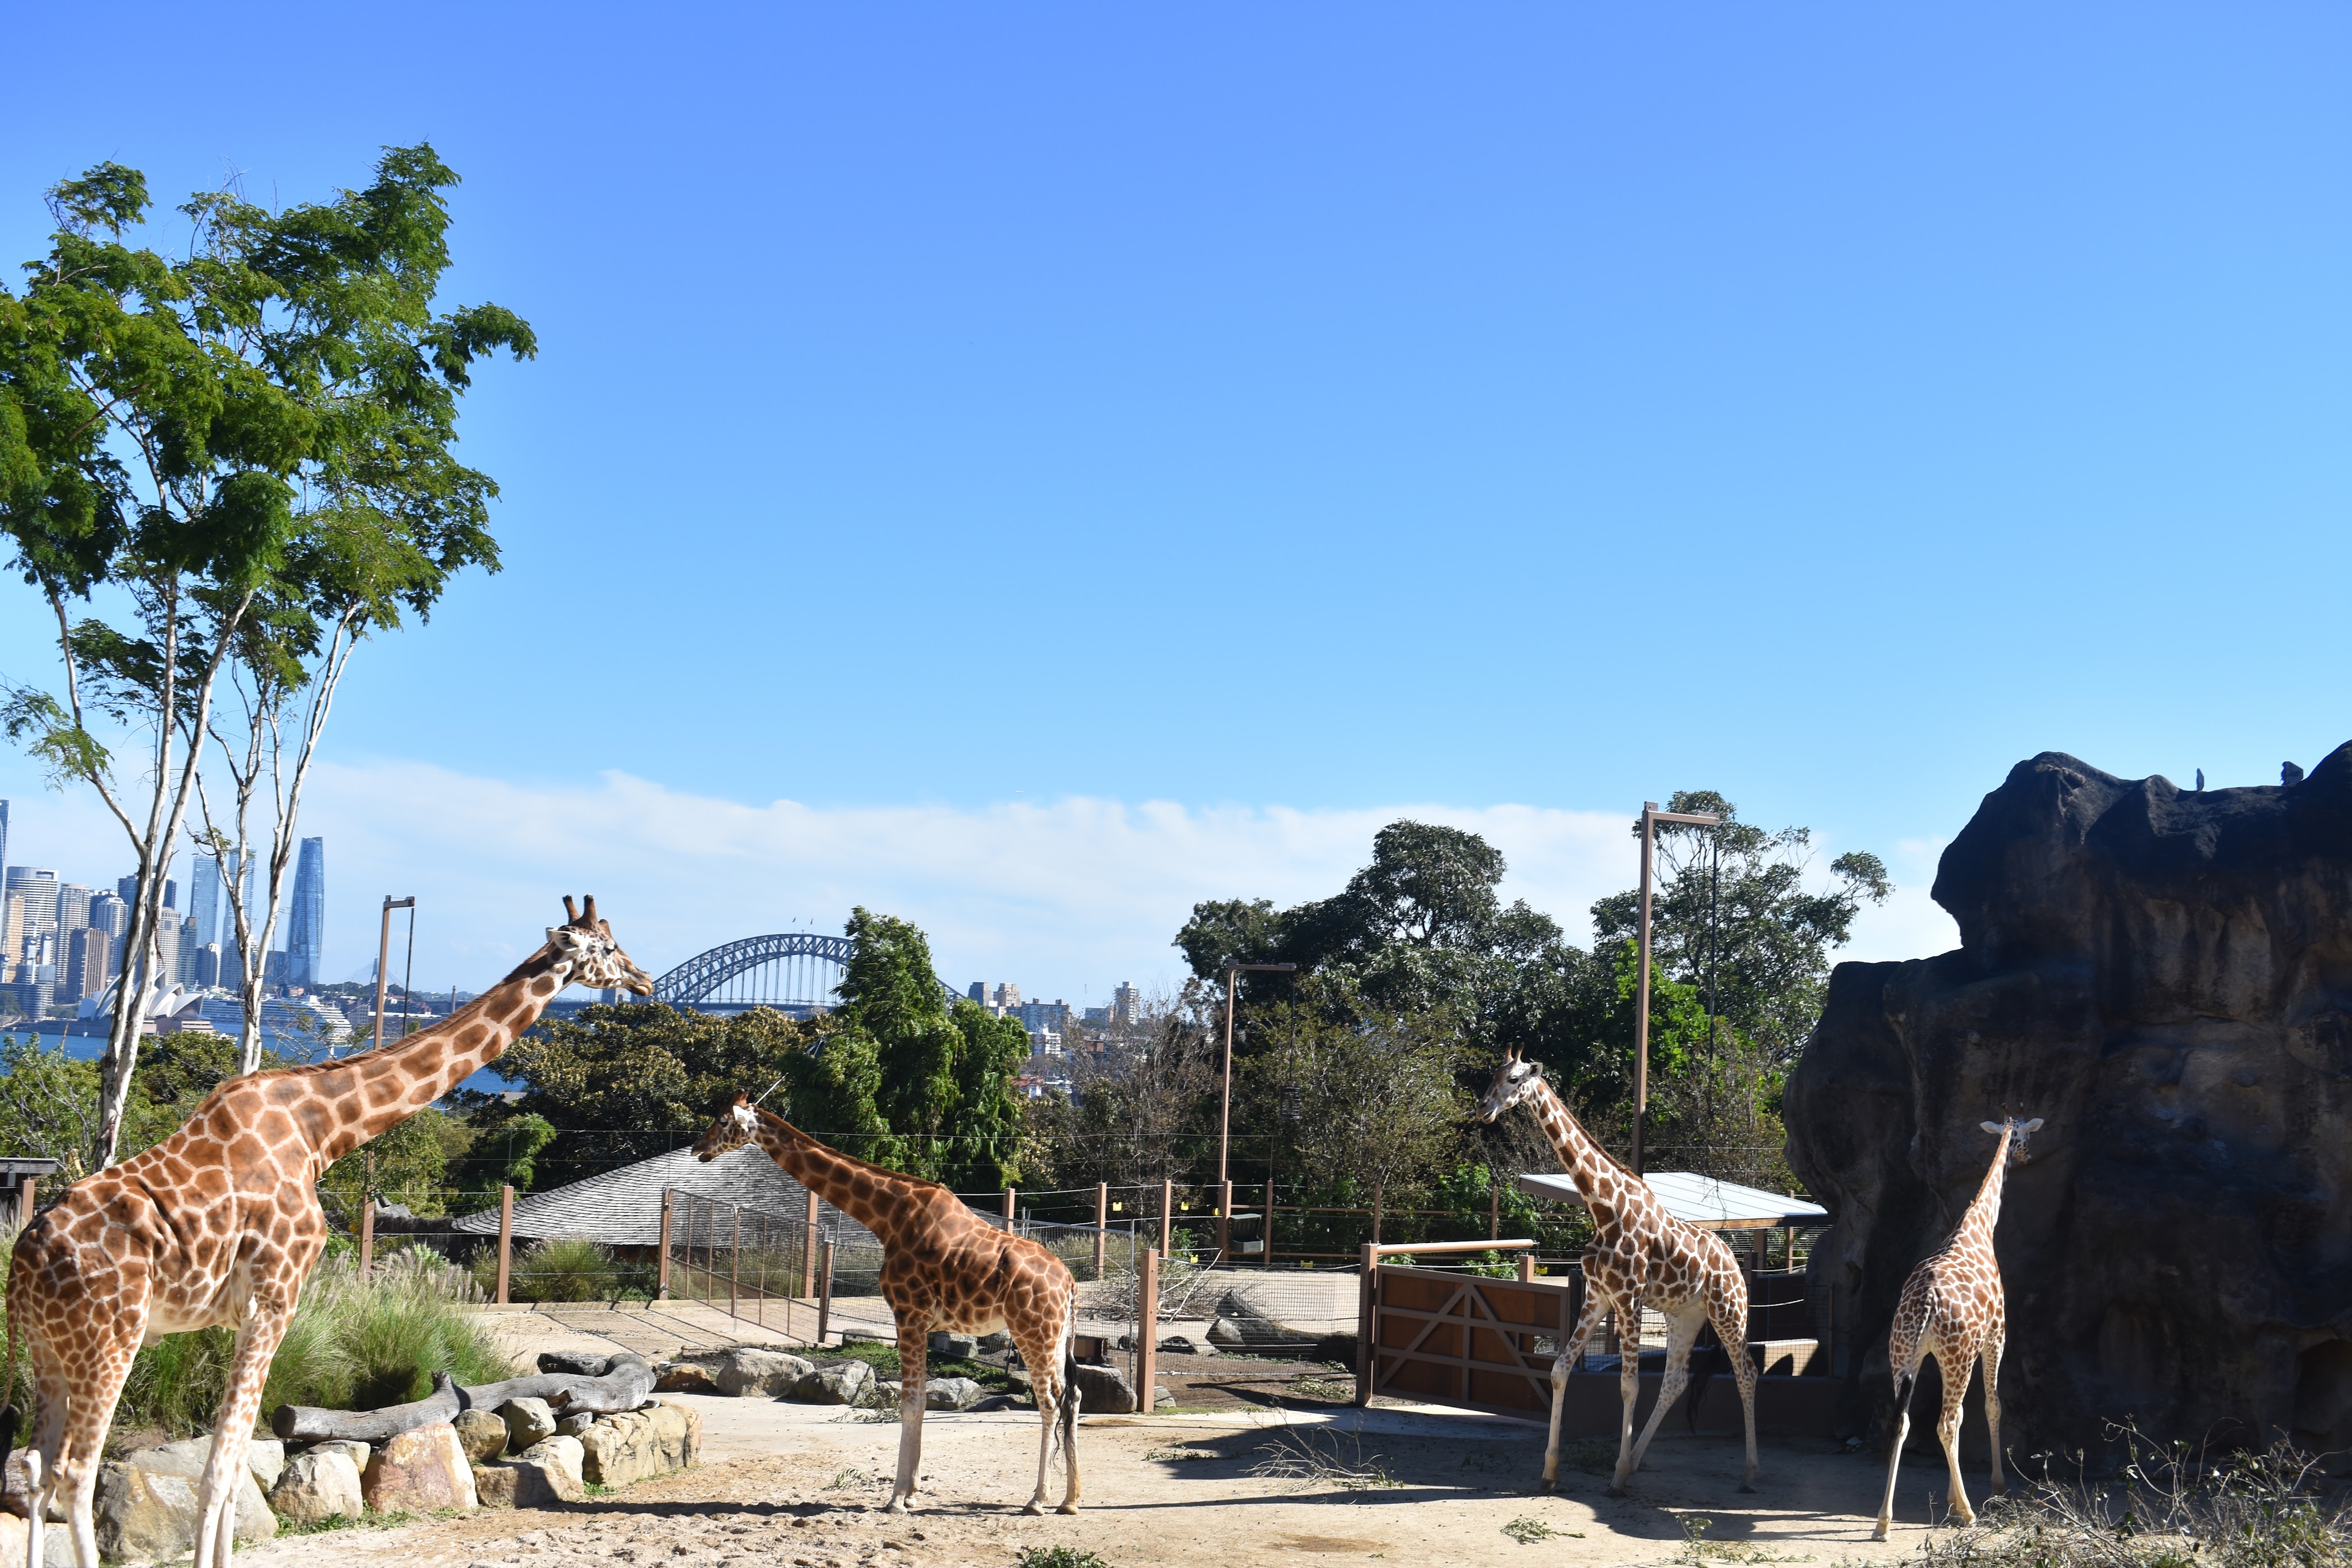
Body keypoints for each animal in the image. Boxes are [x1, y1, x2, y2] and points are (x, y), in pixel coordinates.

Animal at [1, 897, 651, 1568]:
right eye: (606, 947)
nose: (645, 980)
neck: (324, 1131)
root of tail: (23, 1260)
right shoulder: (274, 1299)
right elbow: (221, 1467)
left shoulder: (247, 1313)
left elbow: (233, 1464)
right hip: (111, 1338)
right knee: (76, 1471)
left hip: (52, 1348)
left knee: (37, 1465)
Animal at [693, 1097, 1081, 1515]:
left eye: (722, 1121)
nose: (699, 1149)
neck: (888, 1217)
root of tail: (1071, 1284)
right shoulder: (923, 1323)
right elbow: (922, 1400)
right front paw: (911, 1491)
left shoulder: (908, 1314)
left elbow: (910, 1402)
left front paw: (896, 1498)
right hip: (1055, 1338)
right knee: (1072, 1397)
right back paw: (1071, 1499)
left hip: (1031, 1332)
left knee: (1049, 1402)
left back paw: (1038, 1499)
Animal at [1480, 1048, 1759, 1496]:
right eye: (1494, 1074)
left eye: (1515, 1079)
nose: (1483, 1109)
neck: (1603, 1207)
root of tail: (1735, 1263)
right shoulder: (1598, 1296)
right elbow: (1559, 1371)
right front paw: (1551, 1471)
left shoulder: (1628, 1297)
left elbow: (1629, 1386)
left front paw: (1615, 1477)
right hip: (1686, 1316)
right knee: (1675, 1381)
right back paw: (1639, 1461)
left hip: (1729, 1312)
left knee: (1746, 1373)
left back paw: (1749, 1473)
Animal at [1872, 1114, 2040, 1541]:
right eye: (2026, 1136)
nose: (2028, 1156)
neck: (1979, 1225)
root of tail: (1925, 1304)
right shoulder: (1997, 1333)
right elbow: (1992, 1405)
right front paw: (1996, 1486)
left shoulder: (1940, 1353)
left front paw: (1950, 1496)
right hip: (1958, 1355)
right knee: (1946, 1422)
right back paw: (1968, 1512)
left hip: (1904, 1354)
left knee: (1903, 1421)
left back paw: (1884, 1521)